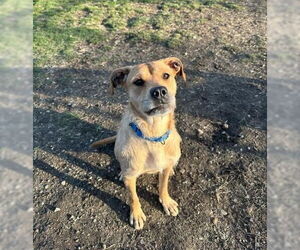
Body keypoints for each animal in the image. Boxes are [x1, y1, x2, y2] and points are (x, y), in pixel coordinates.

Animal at [90, 57, 186, 229]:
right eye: (138, 82)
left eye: (166, 75)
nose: (159, 91)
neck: (153, 134)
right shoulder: (130, 178)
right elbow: (133, 197)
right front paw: (136, 214)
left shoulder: (164, 169)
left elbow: (163, 186)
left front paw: (166, 202)